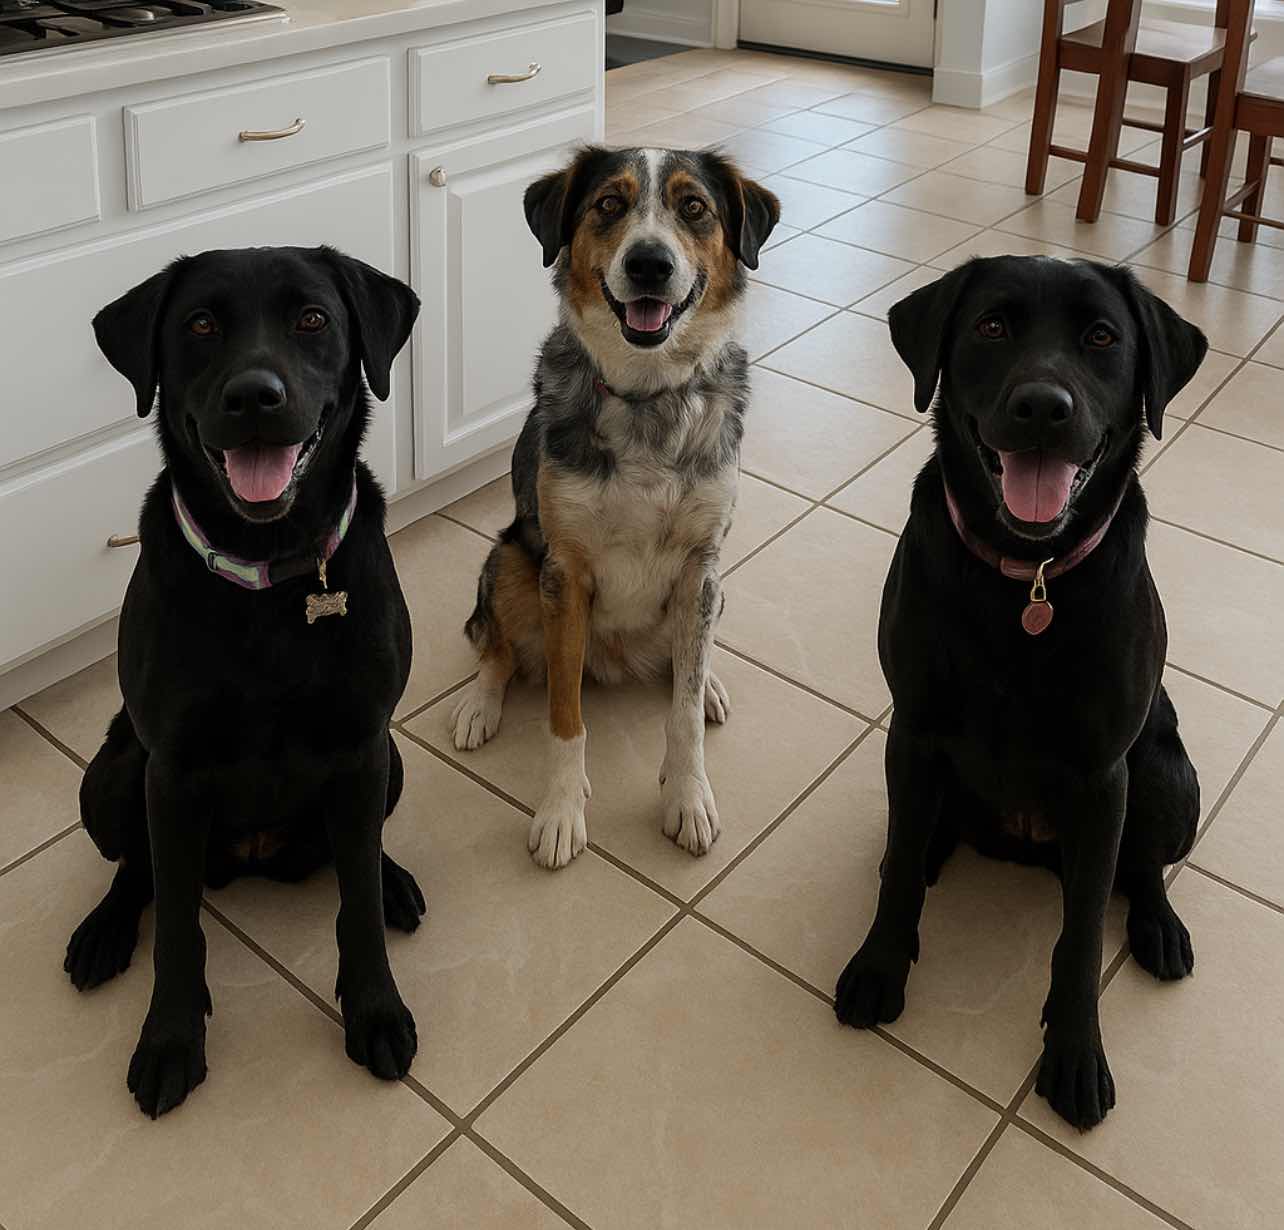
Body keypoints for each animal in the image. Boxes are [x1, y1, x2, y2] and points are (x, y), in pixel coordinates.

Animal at [67, 246, 424, 1117]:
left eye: (312, 319)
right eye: (199, 324)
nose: (255, 396)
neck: (268, 574)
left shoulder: (362, 744)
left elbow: (355, 905)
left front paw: (375, 1009)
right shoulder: (172, 770)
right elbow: (176, 926)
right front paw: (169, 1039)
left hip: (389, 764)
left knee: (356, 850)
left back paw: (394, 882)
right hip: (112, 777)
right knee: (139, 870)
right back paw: (105, 930)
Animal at [449, 146, 779, 868]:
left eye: (693, 207)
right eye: (609, 204)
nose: (649, 263)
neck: (646, 398)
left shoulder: (701, 565)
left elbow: (681, 716)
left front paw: (687, 798)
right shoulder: (565, 572)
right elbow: (563, 717)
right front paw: (560, 812)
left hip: (715, 591)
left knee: (687, 662)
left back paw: (708, 682)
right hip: (510, 560)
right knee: (498, 647)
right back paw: (480, 706)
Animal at [834, 256, 1206, 1131]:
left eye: (1102, 337)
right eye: (992, 326)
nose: (1042, 406)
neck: (1024, 577)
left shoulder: (1102, 777)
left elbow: (1080, 938)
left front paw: (1074, 1053)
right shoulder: (914, 732)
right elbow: (899, 877)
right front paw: (880, 964)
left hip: (1165, 775)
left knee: (1139, 867)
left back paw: (1158, 926)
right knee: (918, 838)